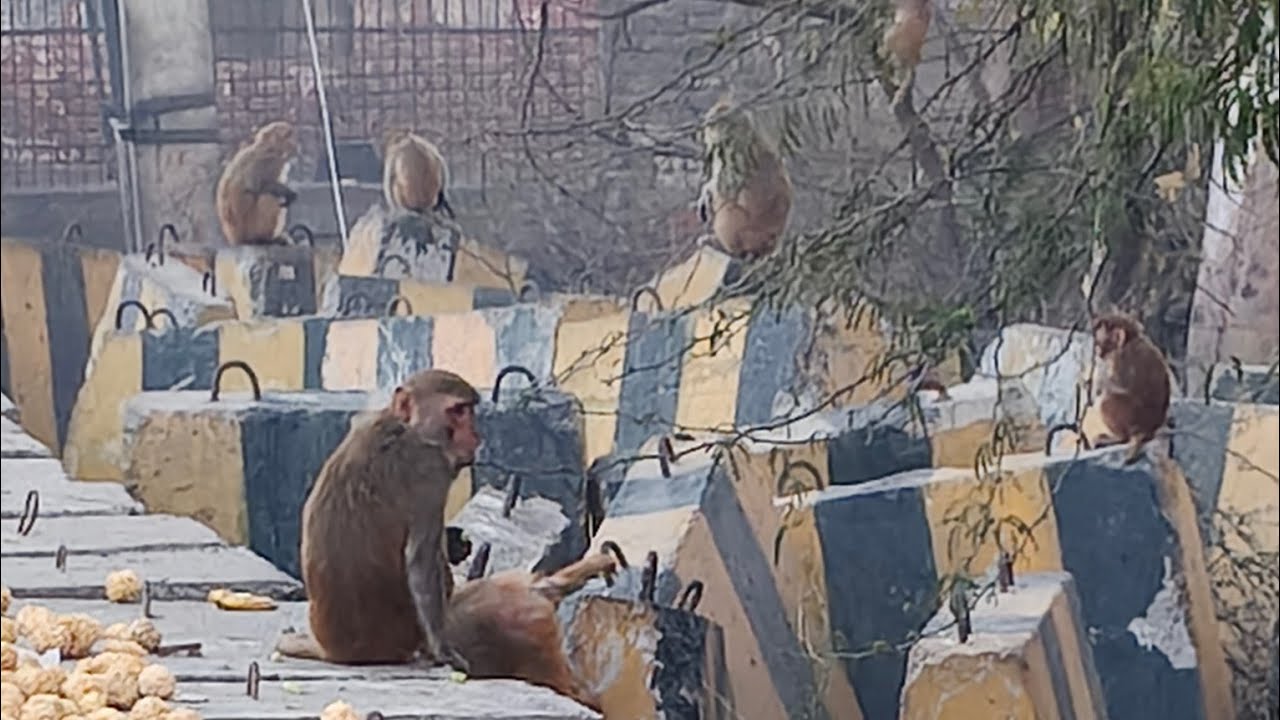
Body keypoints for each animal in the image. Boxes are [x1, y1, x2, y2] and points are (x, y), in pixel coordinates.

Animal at [275, 369, 480, 668]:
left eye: (469, 410)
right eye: (458, 411)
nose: (476, 436)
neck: (404, 427)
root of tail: (333, 651)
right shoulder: (432, 470)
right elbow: (421, 561)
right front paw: (443, 650)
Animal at [695, 94, 794, 261]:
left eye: (717, 118)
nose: (706, 125)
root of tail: (769, 246)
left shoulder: (731, 157)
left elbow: (724, 192)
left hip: (742, 231)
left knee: (727, 210)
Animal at [1088, 312, 1172, 464]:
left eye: (1101, 339)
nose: (1098, 351)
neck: (1129, 341)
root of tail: (1146, 429)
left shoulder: (1121, 359)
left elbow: (1114, 384)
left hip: (1130, 415)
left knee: (1107, 400)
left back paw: (1118, 437)